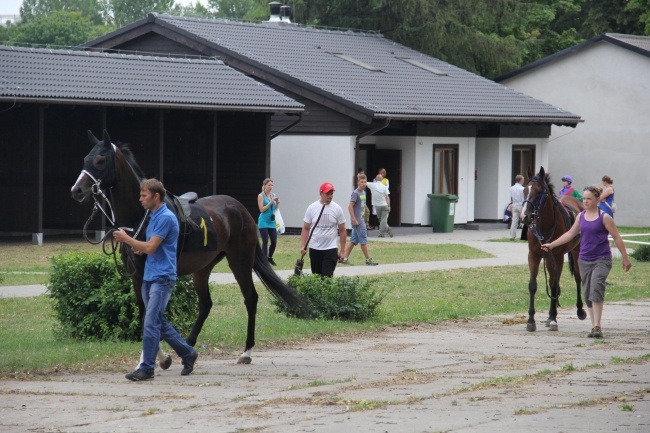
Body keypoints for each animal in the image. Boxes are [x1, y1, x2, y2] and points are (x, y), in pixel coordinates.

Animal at [72, 130, 310, 362]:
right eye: (85, 159)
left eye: (101, 159)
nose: (77, 190)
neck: (142, 215)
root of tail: (241, 210)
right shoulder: (136, 274)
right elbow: (144, 312)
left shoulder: (151, 272)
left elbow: (151, 313)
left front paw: (157, 356)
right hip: (203, 267)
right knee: (206, 304)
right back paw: (189, 344)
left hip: (240, 260)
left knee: (250, 298)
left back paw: (246, 351)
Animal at [520, 166, 584, 330]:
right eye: (525, 190)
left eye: (538, 191)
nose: (525, 216)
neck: (545, 226)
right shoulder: (534, 255)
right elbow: (533, 285)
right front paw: (531, 320)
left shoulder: (558, 257)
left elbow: (555, 285)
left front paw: (554, 318)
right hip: (548, 259)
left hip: (576, 251)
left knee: (577, 277)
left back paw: (580, 310)